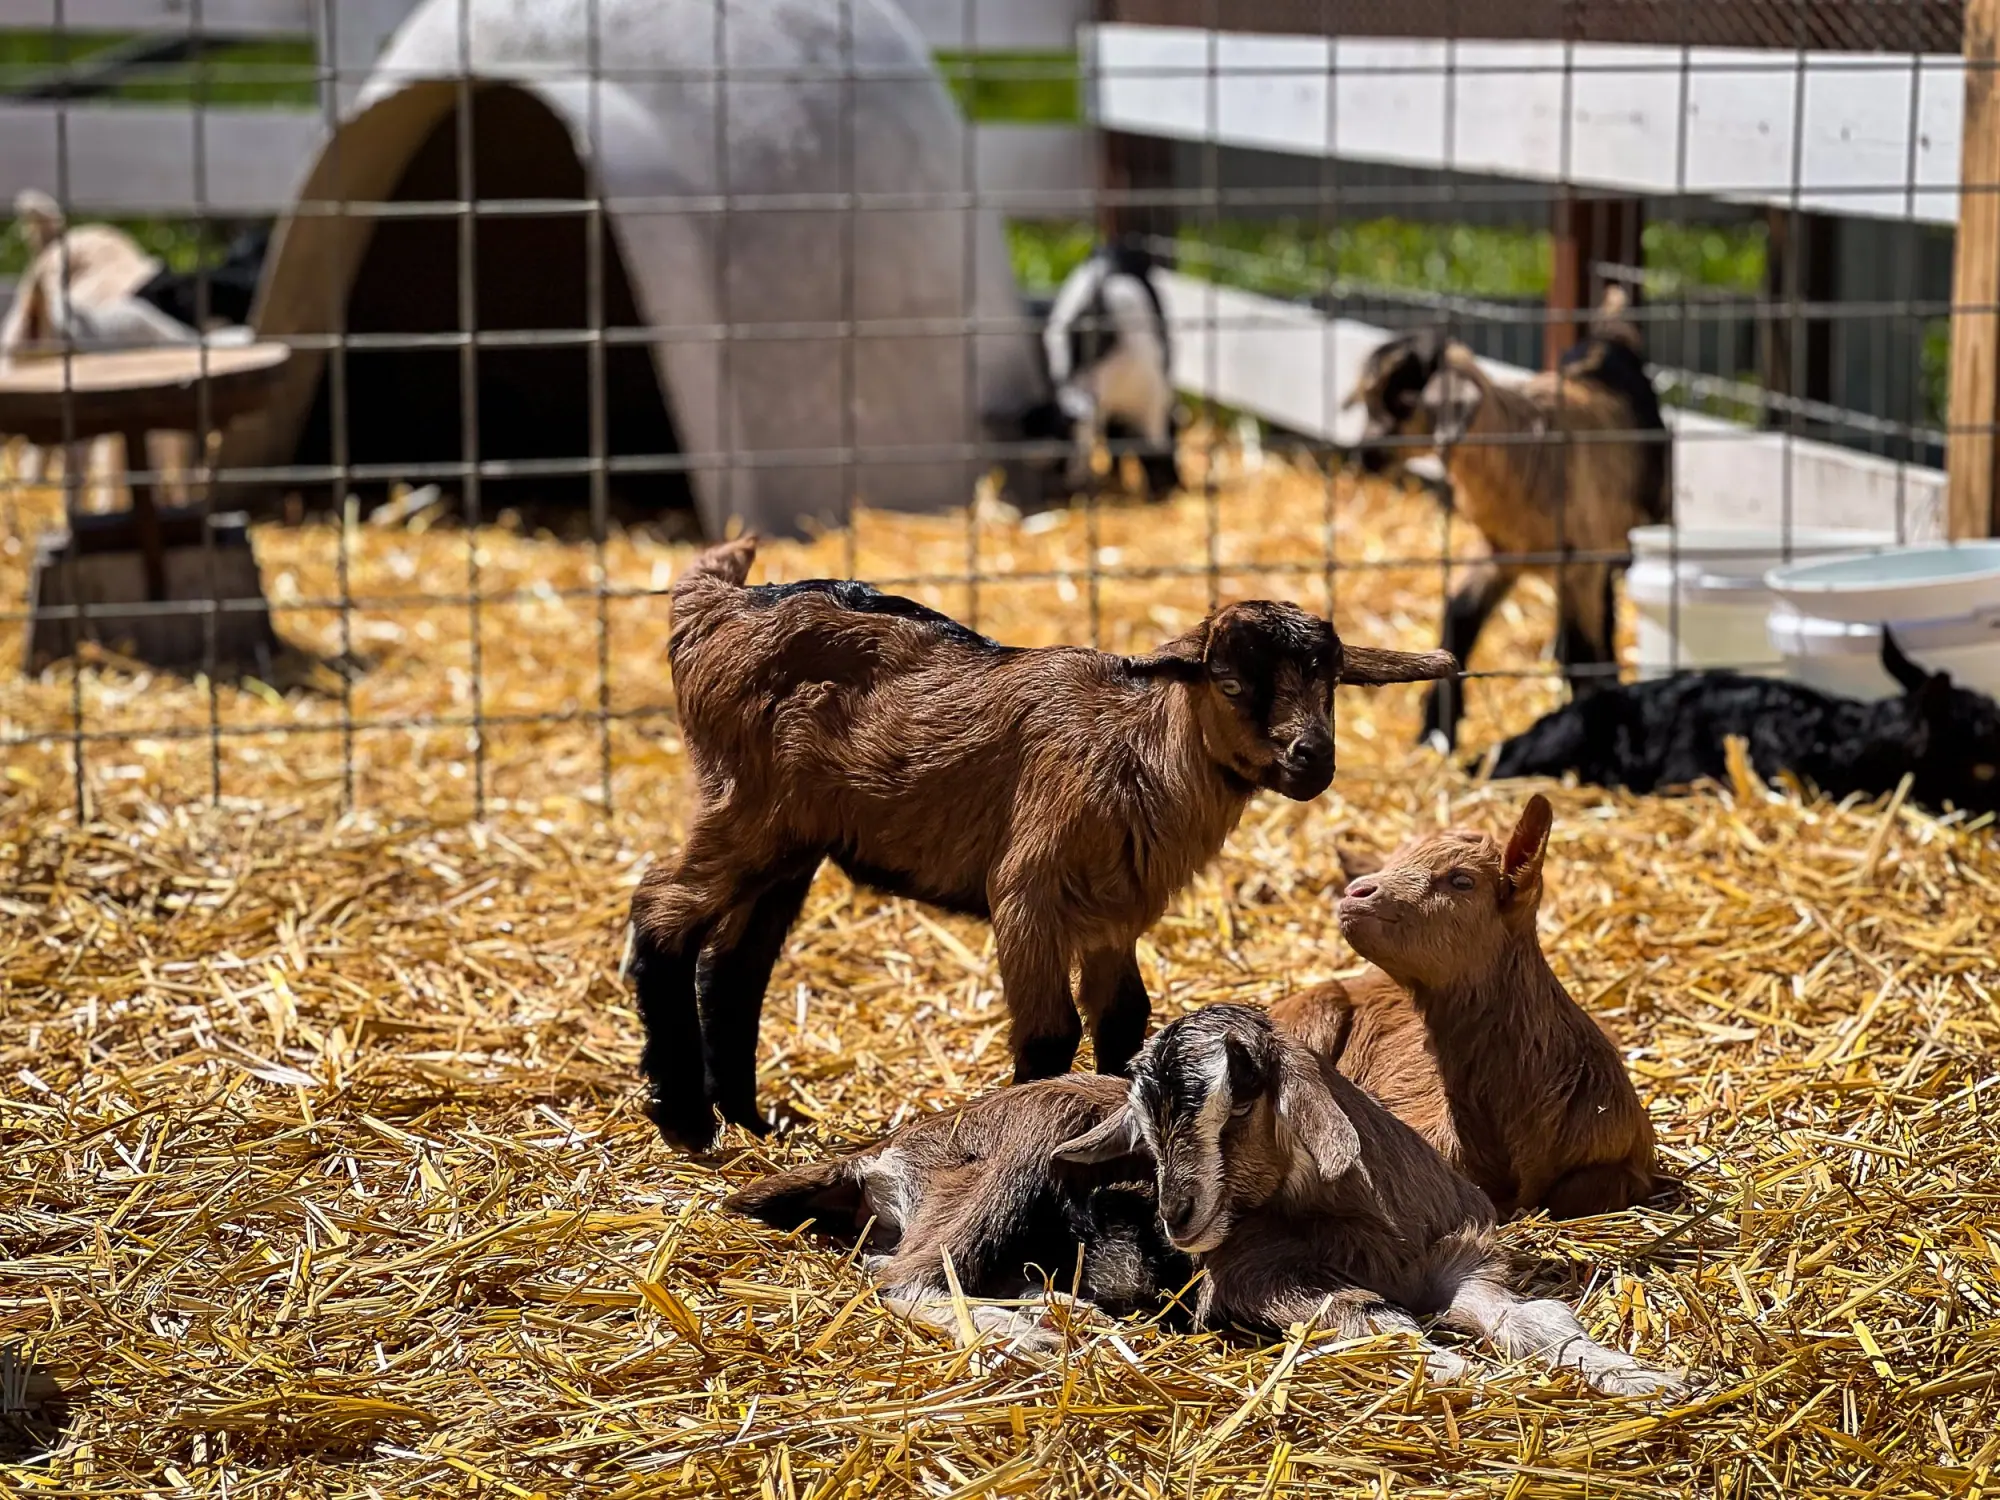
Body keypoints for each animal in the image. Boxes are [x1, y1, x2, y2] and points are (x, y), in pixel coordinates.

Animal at [629, 536, 1456, 1151]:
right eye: (1227, 682)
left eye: (1331, 683)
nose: (1313, 759)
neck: (1133, 753)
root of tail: (721, 606)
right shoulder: (1028, 894)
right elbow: (1050, 1035)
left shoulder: (1114, 915)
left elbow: (1125, 1019)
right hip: (746, 806)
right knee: (662, 910)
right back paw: (686, 1119)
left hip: (792, 840)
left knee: (735, 963)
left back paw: (748, 1118)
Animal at [733, 1007, 1685, 1394]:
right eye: (1146, 1134)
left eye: (1244, 1093)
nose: (1176, 1220)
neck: (1355, 1225)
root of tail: (877, 1154)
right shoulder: (1256, 1281)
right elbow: (1373, 1321)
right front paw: (1462, 1373)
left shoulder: (1459, 1266)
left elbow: (1540, 1322)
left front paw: (1642, 1378)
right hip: (1015, 1152)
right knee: (903, 1277)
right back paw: (1038, 1333)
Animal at [1019, 242, 1181, 499]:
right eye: (1057, 462)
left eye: (1065, 442)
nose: (1068, 483)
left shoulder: (1151, 398)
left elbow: (1152, 447)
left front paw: (1162, 490)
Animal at [1348, 288, 1672, 751]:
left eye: (1404, 402)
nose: (1361, 458)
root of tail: (1609, 338)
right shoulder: (1500, 552)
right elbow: (1460, 616)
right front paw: (1436, 732)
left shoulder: (1578, 561)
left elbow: (1582, 651)